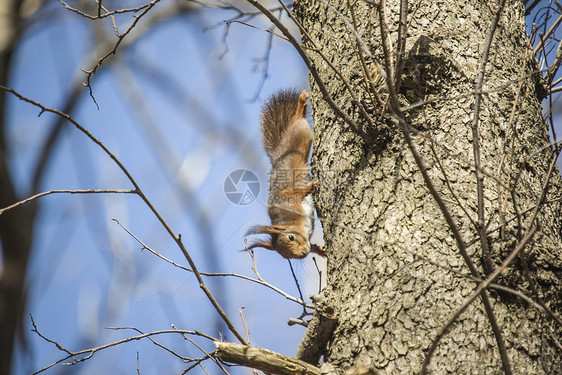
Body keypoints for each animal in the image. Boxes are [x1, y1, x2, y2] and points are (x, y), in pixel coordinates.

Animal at [245, 90, 324, 260]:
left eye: (291, 237)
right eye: (286, 257)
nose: (303, 254)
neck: (289, 219)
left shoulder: (287, 198)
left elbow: (296, 192)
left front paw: (309, 188)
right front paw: (320, 250)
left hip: (301, 134)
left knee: (298, 119)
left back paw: (301, 103)